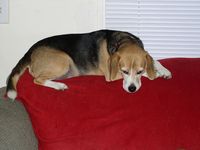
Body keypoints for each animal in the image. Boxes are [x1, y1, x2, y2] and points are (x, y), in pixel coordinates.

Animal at [6, 29, 172, 99]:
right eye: (124, 71)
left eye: (139, 71)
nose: (132, 89)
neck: (123, 41)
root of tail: (29, 51)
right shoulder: (111, 76)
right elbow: (150, 73)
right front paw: (155, 74)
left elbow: (153, 60)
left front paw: (163, 70)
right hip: (64, 60)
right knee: (37, 79)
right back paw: (59, 86)